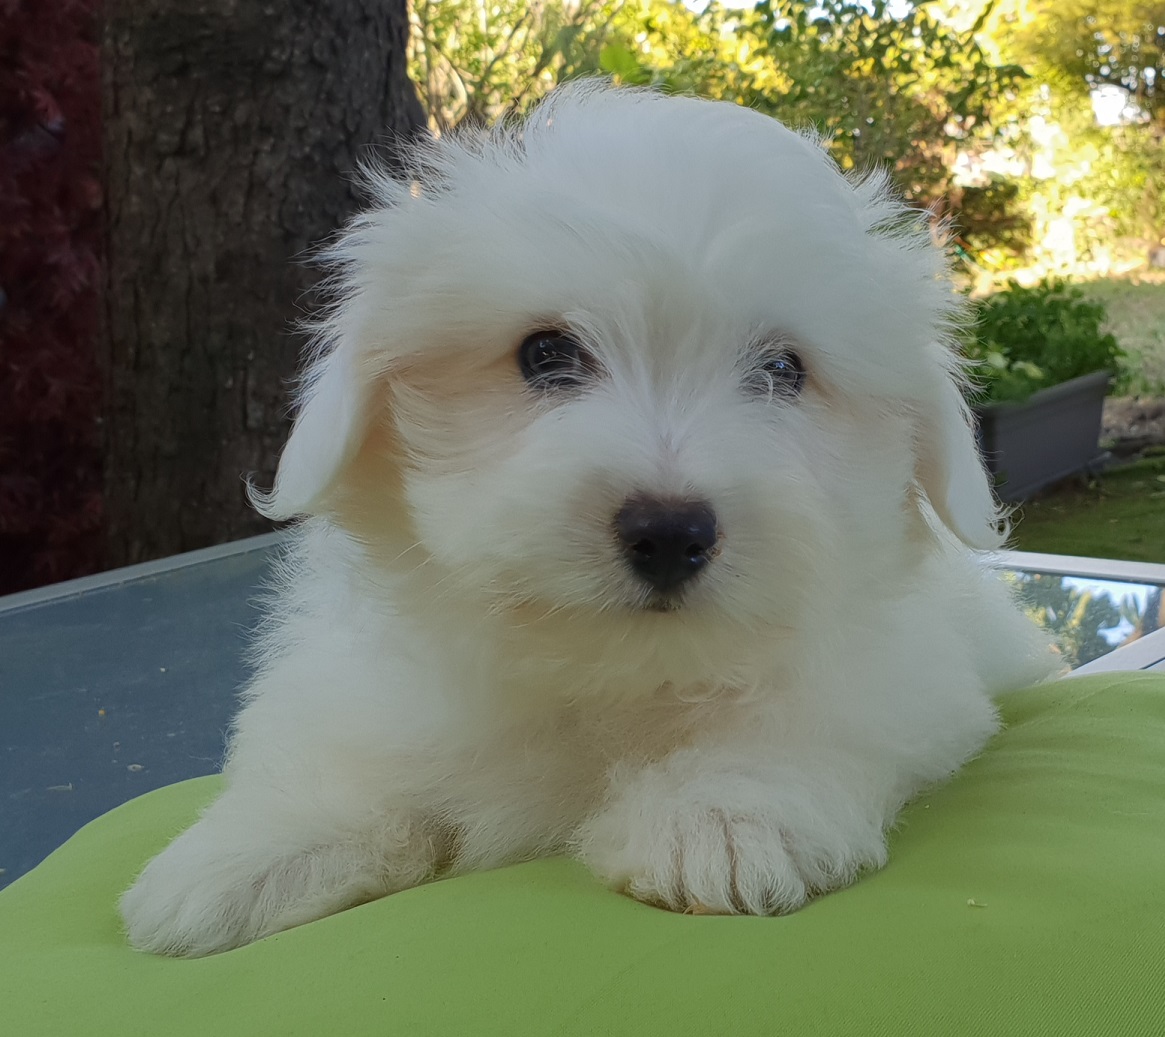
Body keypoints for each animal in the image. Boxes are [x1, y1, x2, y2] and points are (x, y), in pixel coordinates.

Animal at [120, 86, 1057, 955]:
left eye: (784, 370)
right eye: (544, 353)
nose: (670, 531)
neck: (610, 677)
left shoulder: (898, 675)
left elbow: (804, 714)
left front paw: (723, 815)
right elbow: (351, 758)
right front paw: (247, 855)